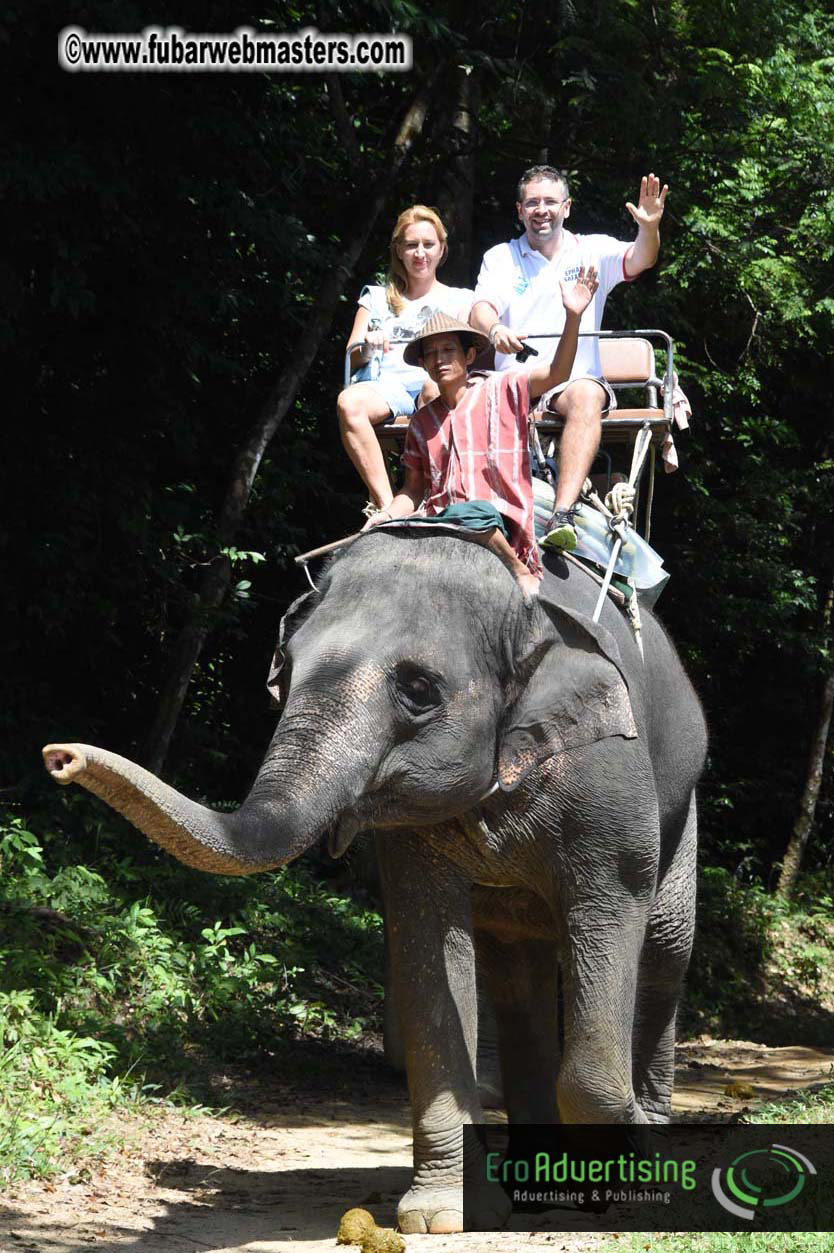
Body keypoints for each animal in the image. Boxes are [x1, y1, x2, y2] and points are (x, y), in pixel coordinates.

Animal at [43, 525, 707, 1235]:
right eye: (283, 671)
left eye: (419, 689)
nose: (60, 757)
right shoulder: (414, 836)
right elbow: (428, 953)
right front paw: (443, 1216)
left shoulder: (609, 776)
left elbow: (609, 914)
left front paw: (625, 1175)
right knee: (515, 966)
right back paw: (537, 1178)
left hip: (683, 808)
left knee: (665, 947)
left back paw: (639, 1140)